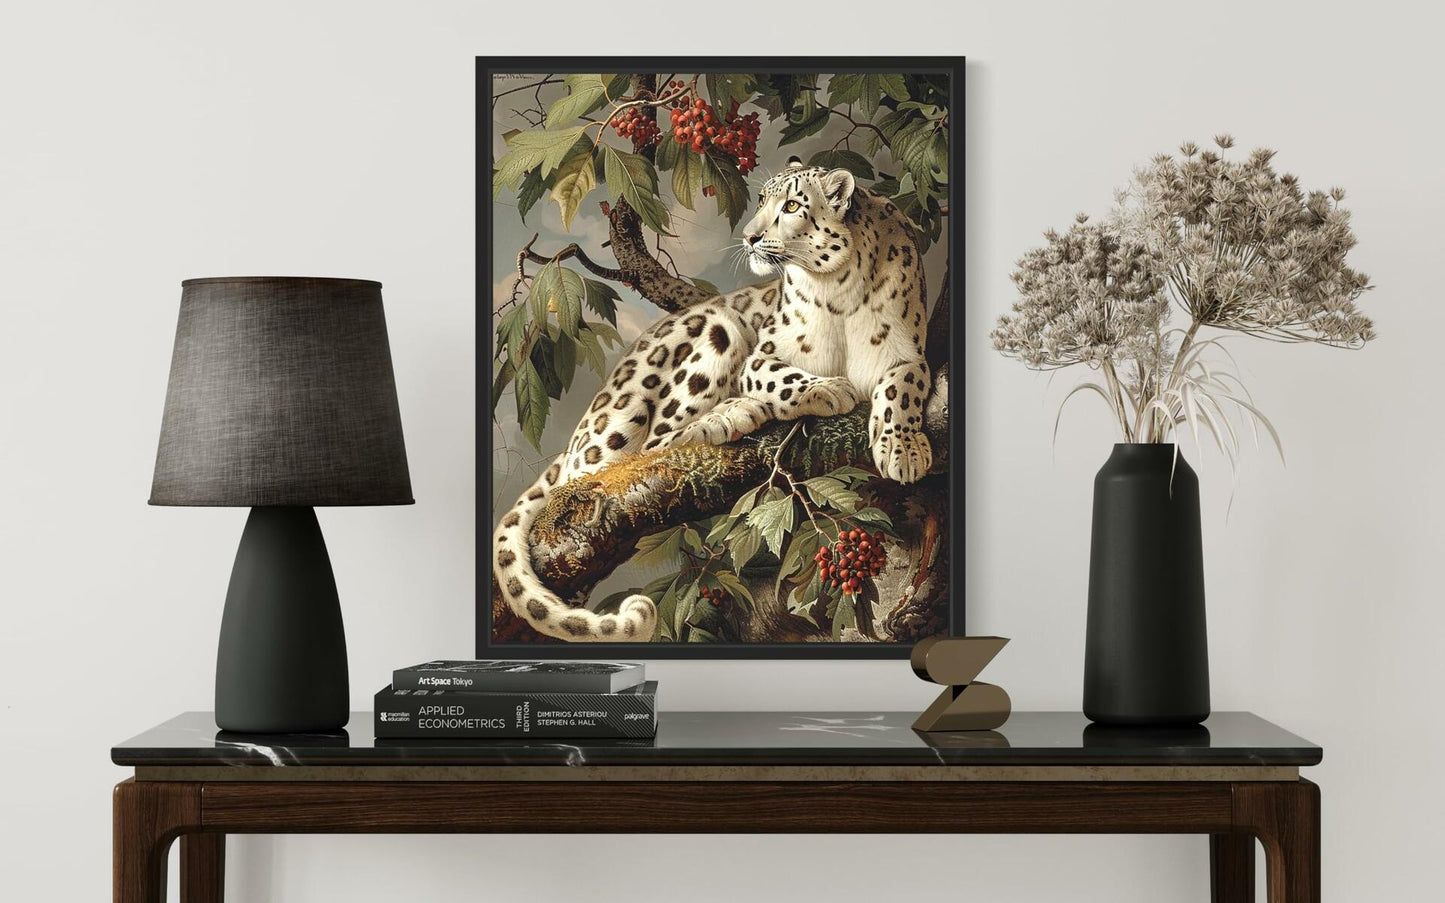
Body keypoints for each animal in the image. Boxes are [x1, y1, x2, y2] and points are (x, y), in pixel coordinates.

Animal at [493, 157, 934, 643]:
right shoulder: (761, 356)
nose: (750, 236)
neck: (838, 291)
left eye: (792, 205)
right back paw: (729, 415)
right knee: (642, 450)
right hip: (709, 337)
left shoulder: (905, 354)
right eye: (760, 200)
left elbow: (903, 386)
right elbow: (780, 378)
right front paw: (829, 389)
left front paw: (903, 450)